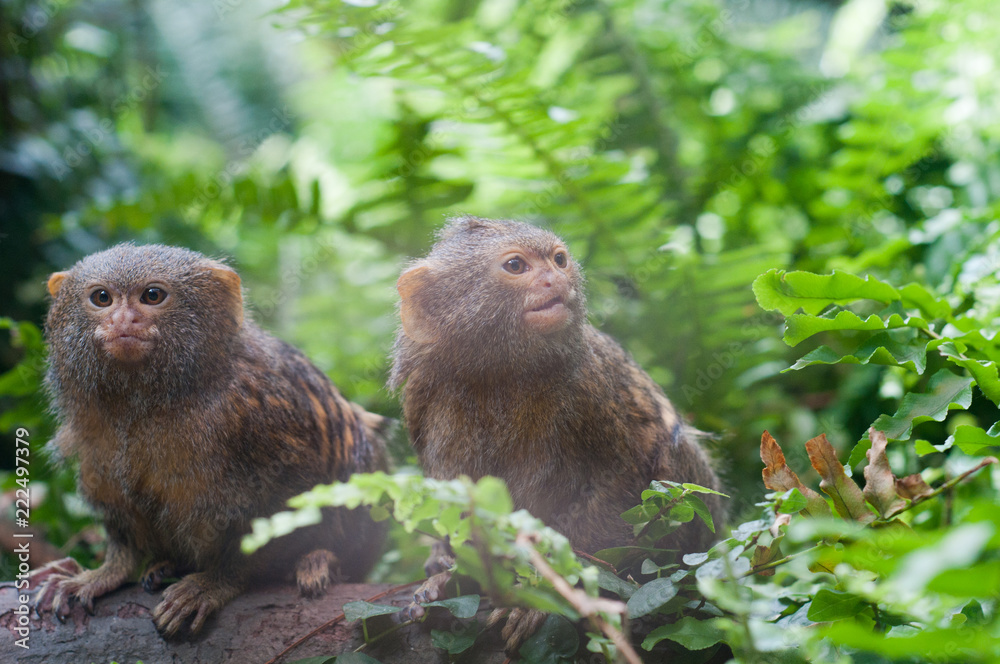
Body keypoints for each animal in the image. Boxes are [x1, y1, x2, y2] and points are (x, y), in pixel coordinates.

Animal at [35, 243, 390, 637]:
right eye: (101, 298)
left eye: (152, 296)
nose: (123, 322)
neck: (151, 399)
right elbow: (121, 518)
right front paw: (104, 573)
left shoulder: (267, 420)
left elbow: (285, 506)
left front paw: (214, 583)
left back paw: (322, 559)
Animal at [389, 216, 725, 650]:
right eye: (516, 266)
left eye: (559, 260)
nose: (556, 280)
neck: (498, 376)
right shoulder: (422, 395)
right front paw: (451, 576)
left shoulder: (590, 386)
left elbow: (615, 487)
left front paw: (543, 591)